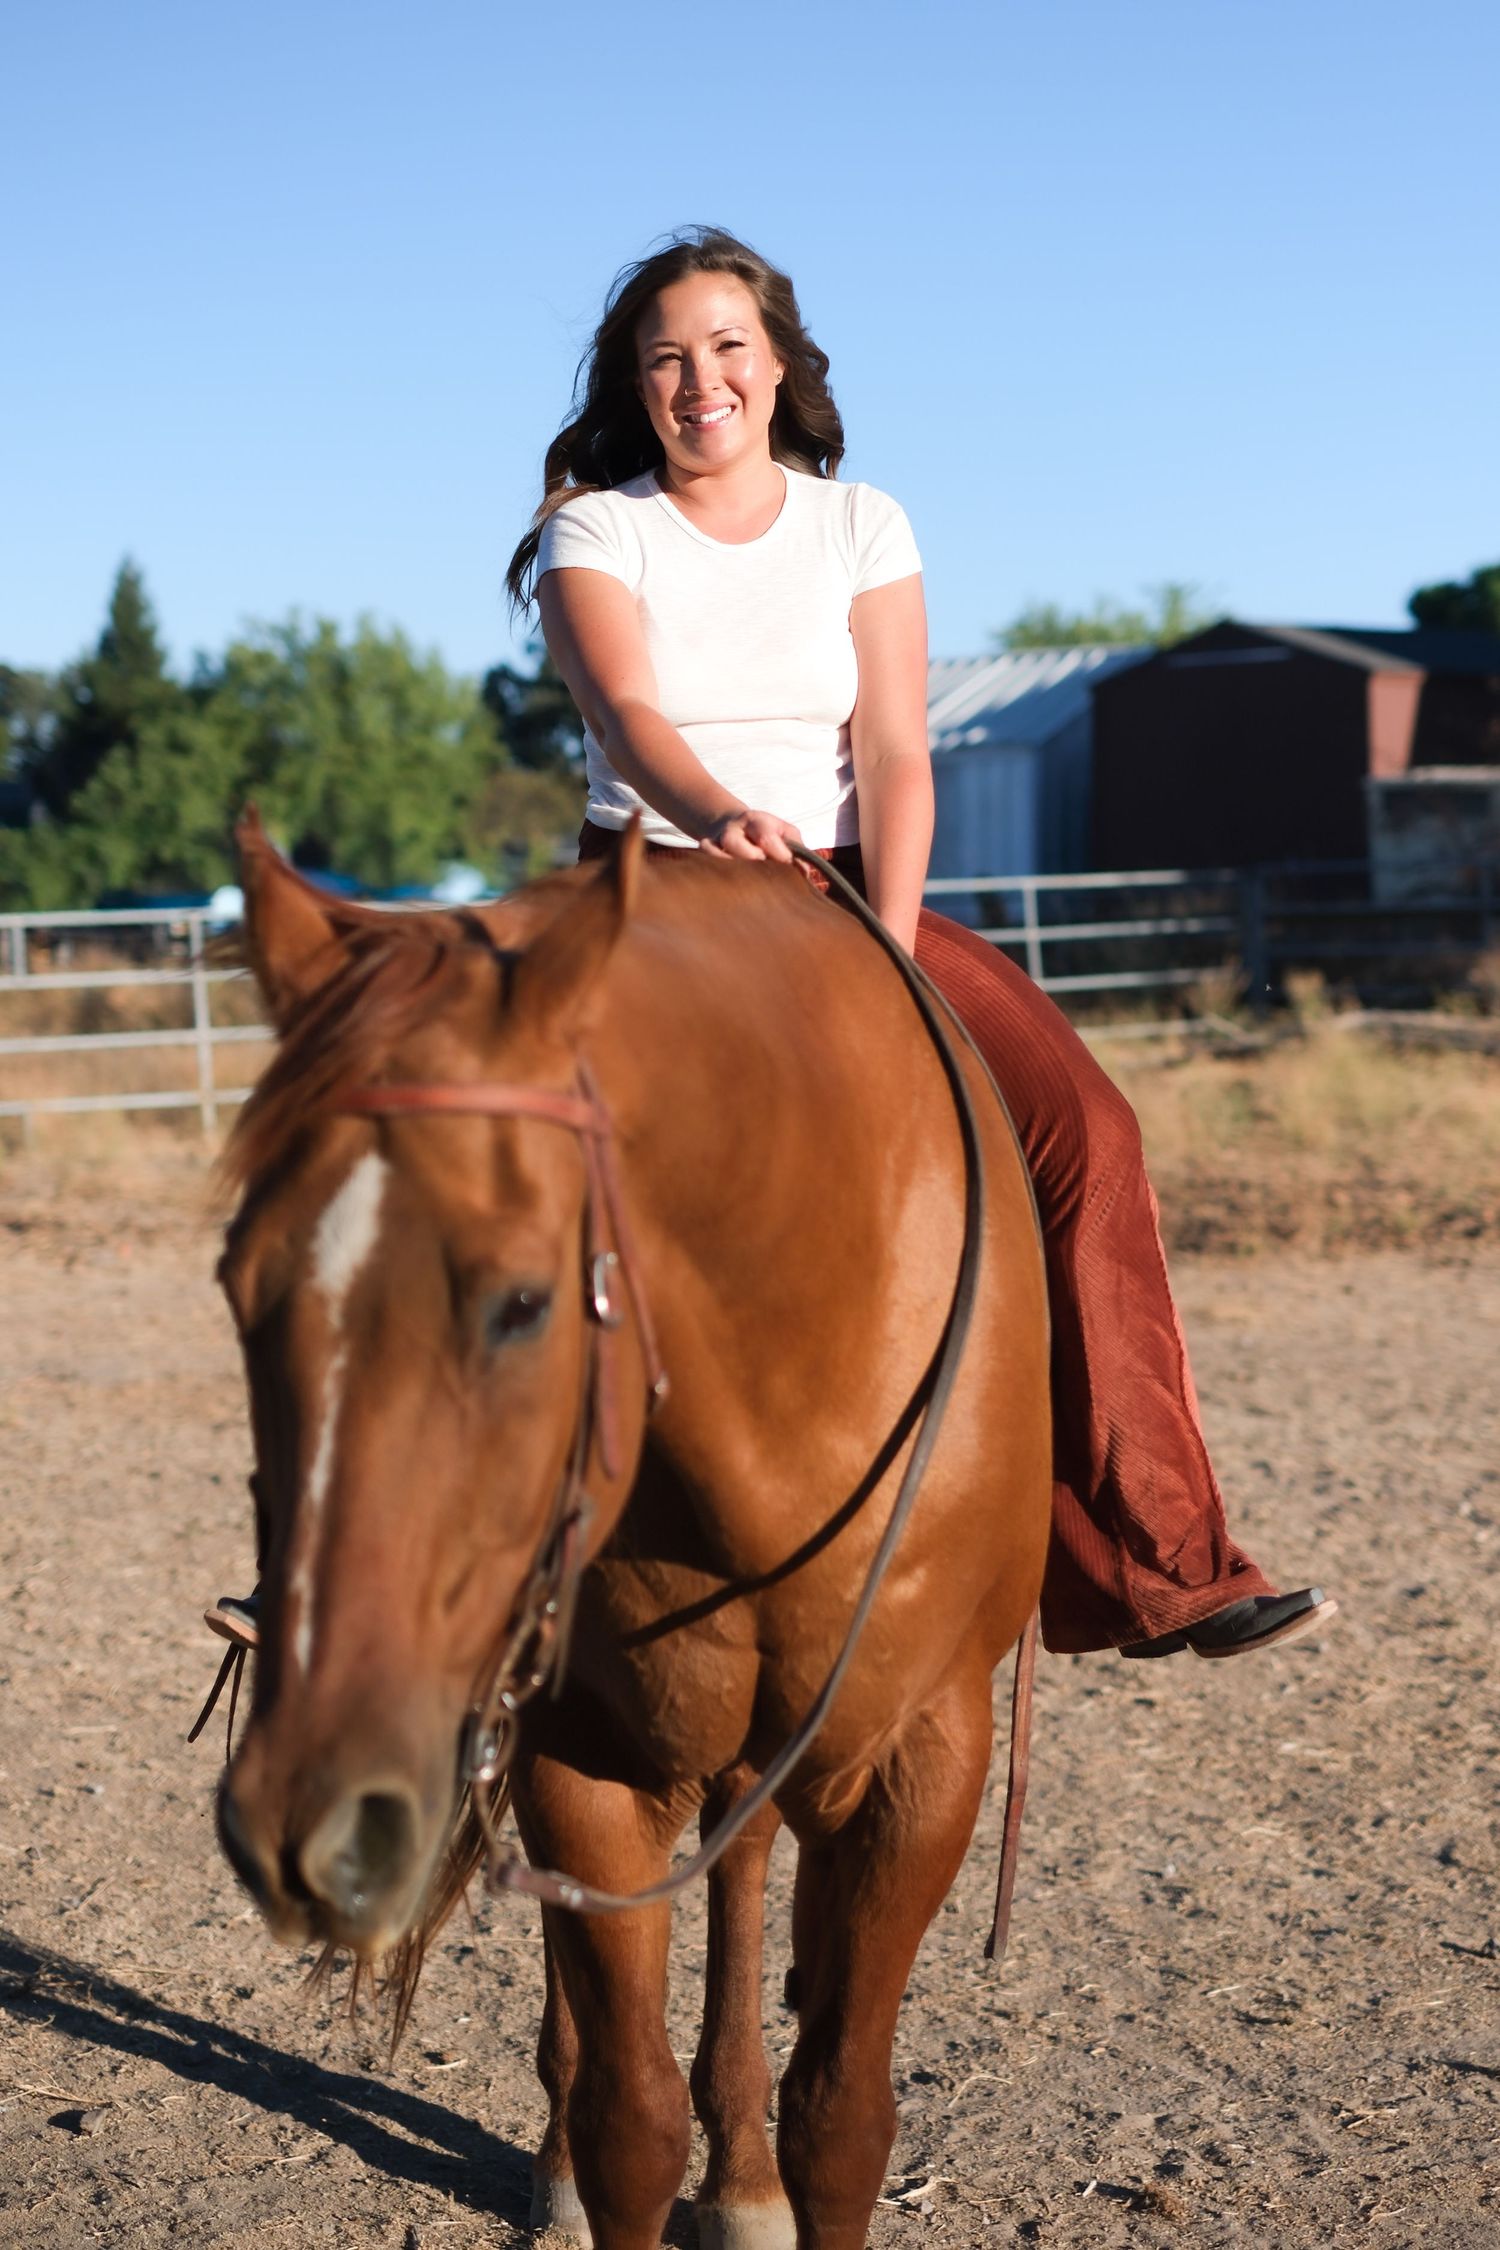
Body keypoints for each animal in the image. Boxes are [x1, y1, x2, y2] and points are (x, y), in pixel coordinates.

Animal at [211, 811, 1052, 2250]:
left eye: (523, 1302)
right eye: (235, 1282)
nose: (307, 1816)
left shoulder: (924, 1761)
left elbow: (843, 2120)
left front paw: (772, 2162)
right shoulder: (586, 1759)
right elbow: (628, 2117)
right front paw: (604, 2150)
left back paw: (747, 2178)